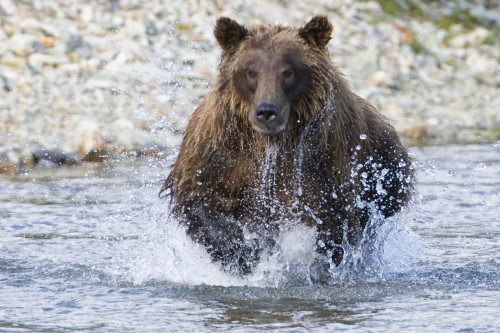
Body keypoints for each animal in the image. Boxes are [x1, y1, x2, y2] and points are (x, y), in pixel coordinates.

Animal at [161, 15, 414, 278]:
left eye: (288, 72)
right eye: (251, 71)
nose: (266, 111)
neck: (270, 144)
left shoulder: (324, 164)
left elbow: (333, 222)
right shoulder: (219, 152)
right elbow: (198, 200)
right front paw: (243, 254)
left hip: (387, 172)